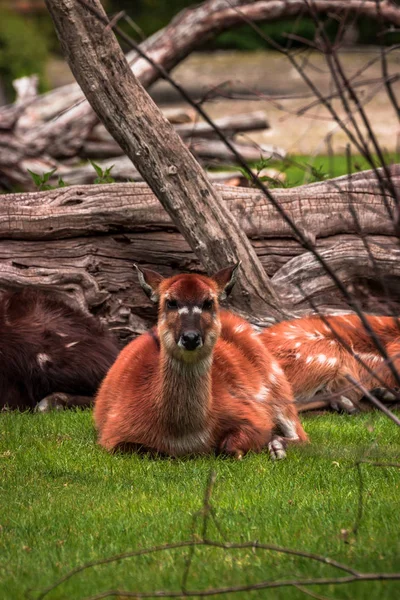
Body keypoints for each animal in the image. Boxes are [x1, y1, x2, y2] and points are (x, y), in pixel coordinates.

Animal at [94, 264, 306, 458]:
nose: (190, 337)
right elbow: (138, 449)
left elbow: (232, 446)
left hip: (279, 386)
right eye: (170, 302)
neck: (184, 434)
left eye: (208, 302)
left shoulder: (253, 415)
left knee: (302, 436)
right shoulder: (114, 430)